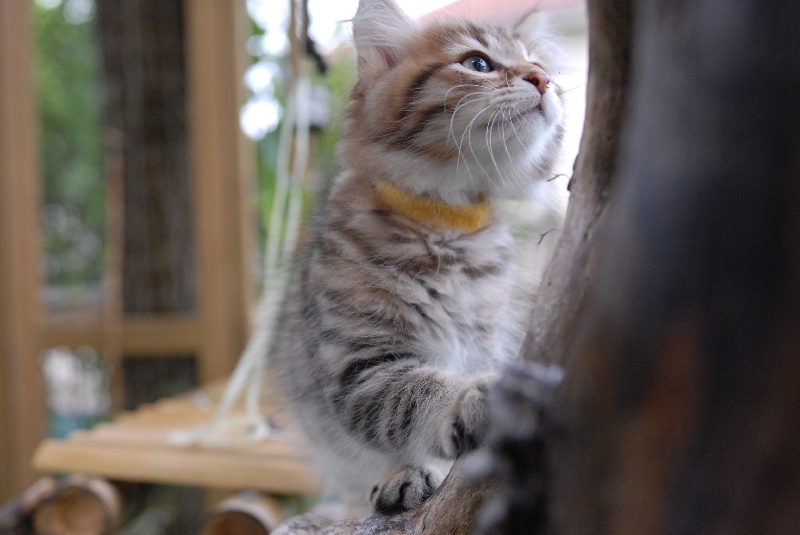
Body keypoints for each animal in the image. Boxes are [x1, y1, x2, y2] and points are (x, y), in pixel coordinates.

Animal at [272, 0, 564, 520]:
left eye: (538, 63)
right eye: (478, 63)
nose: (543, 80)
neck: (446, 228)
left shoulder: (487, 339)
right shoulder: (361, 361)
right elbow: (415, 397)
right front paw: (465, 404)